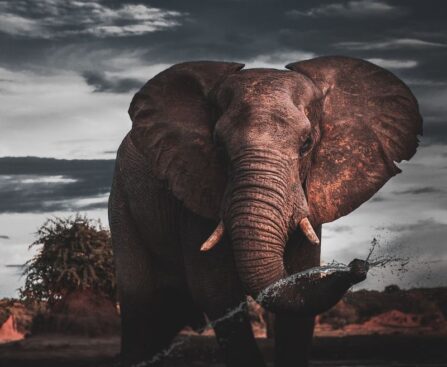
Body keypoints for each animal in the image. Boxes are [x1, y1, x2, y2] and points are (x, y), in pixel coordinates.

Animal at [109, 55, 424, 367]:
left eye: (307, 144)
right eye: (218, 145)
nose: (358, 265)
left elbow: (299, 286)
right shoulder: (194, 190)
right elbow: (216, 292)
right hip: (122, 205)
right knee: (140, 305)